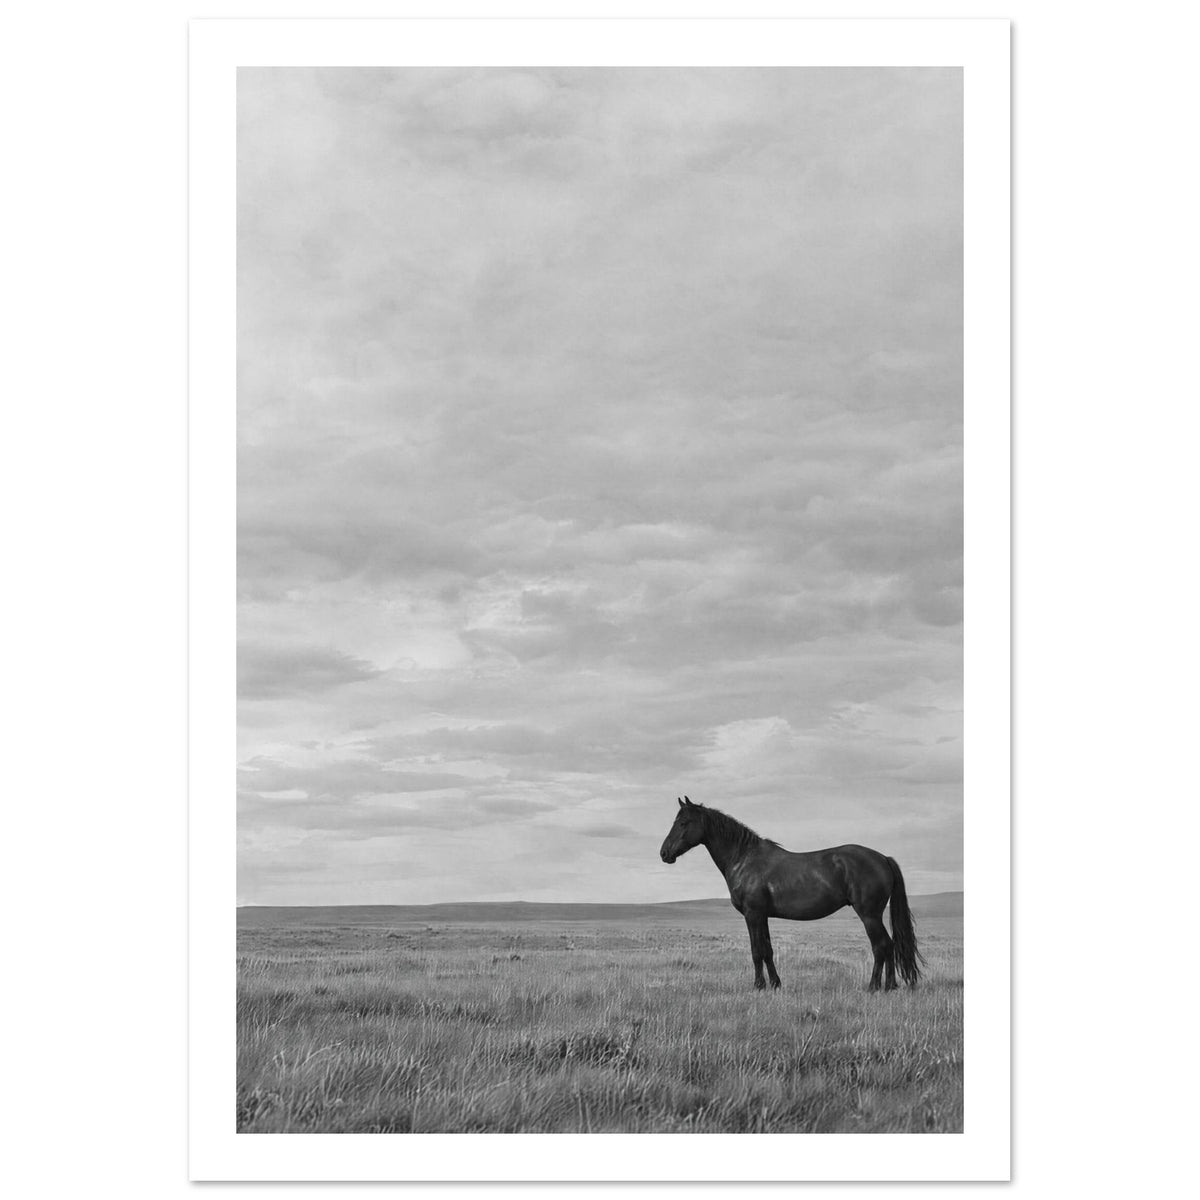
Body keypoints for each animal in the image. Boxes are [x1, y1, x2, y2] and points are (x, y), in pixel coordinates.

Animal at [659, 796, 924, 992]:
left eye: (683, 823)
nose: (664, 853)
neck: (744, 859)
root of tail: (883, 858)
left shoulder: (752, 915)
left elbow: (757, 951)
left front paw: (758, 986)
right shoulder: (762, 916)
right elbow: (767, 950)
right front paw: (775, 984)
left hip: (869, 915)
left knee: (881, 946)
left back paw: (874, 987)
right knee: (888, 946)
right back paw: (889, 986)